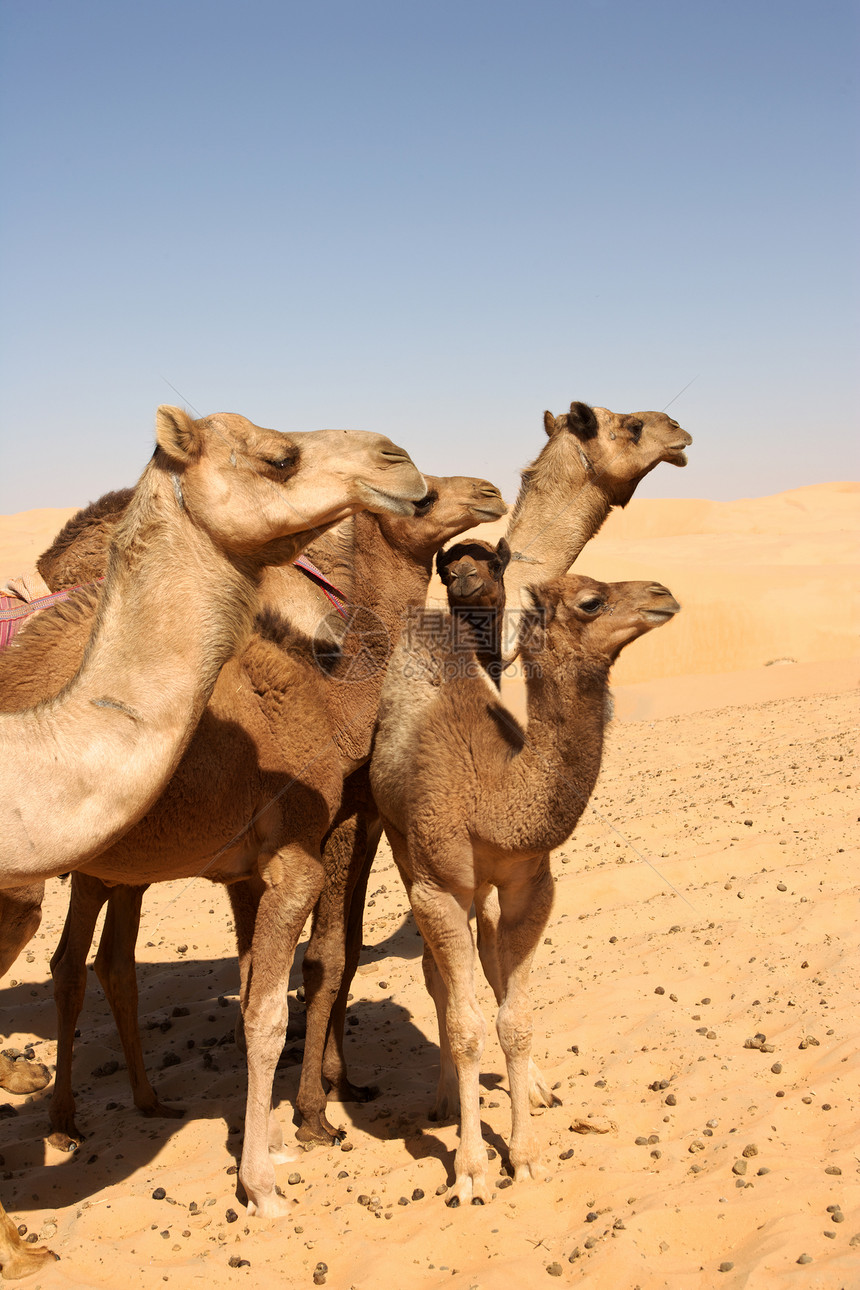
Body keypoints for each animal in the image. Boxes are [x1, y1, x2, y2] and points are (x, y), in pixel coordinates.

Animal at [371, 570, 680, 1202]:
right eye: (591, 602)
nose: (662, 593)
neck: (490, 798)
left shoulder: (531, 886)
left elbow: (515, 1019)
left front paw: (528, 1154)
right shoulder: (437, 886)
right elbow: (464, 1023)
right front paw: (471, 1170)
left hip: (486, 891)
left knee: (489, 958)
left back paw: (535, 1087)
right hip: (401, 844)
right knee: (438, 977)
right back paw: (444, 1098)